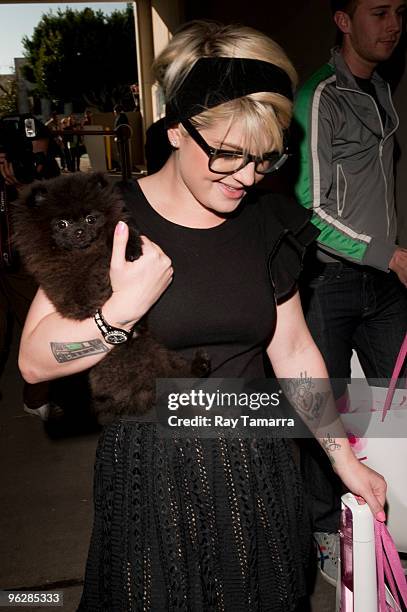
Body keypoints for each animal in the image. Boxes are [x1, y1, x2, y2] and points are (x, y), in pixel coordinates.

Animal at [12, 172, 210, 420]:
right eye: (62, 224)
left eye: (90, 219)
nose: (79, 231)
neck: (81, 252)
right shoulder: (72, 293)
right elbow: (91, 274)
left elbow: (116, 232)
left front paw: (129, 248)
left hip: (160, 356)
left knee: (178, 373)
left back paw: (199, 365)